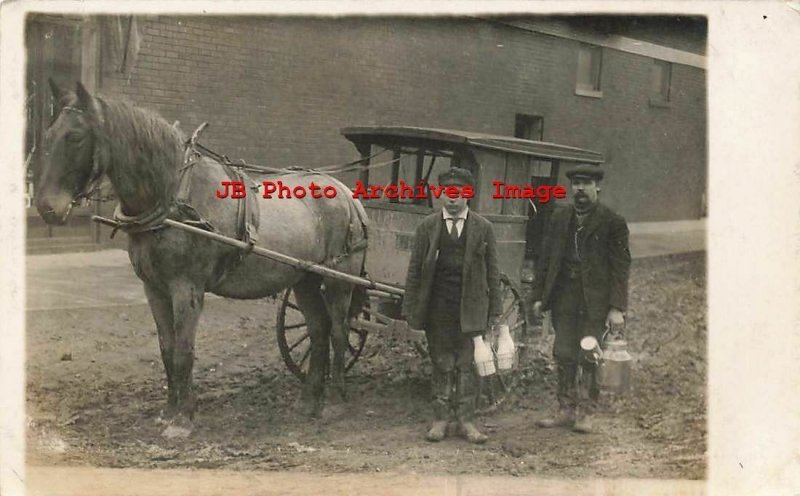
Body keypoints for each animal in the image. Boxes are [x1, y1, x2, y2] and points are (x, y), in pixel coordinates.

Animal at [33, 81, 366, 438]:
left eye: (76, 137)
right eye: (49, 133)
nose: (46, 208)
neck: (173, 197)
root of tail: (347, 194)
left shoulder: (186, 289)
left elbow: (184, 351)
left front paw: (183, 420)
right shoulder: (154, 289)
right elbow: (166, 349)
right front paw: (169, 412)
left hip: (338, 278)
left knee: (339, 331)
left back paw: (334, 401)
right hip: (304, 278)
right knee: (318, 329)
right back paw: (308, 401)